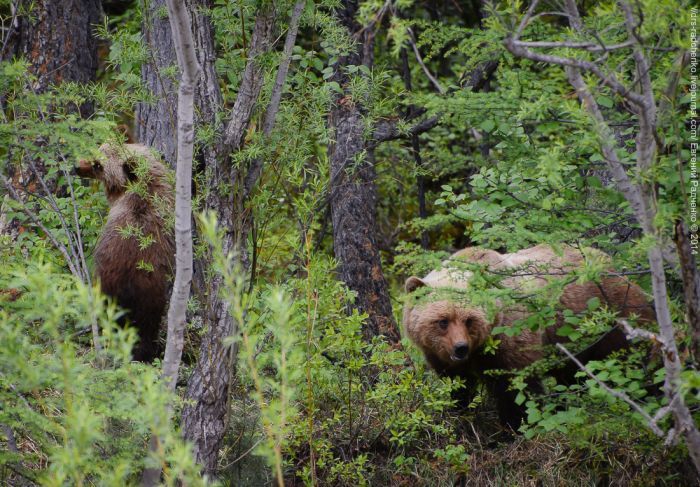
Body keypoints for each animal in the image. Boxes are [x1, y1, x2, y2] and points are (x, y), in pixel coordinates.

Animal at [404, 246, 656, 428]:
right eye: (443, 321)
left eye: (469, 320)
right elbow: (458, 388)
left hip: (614, 314)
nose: (460, 348)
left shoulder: (510, 339)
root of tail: (611, 262)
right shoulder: (441, 358)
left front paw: (514, 429)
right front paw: (460, 416)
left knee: (632, 362)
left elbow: (517, 389)